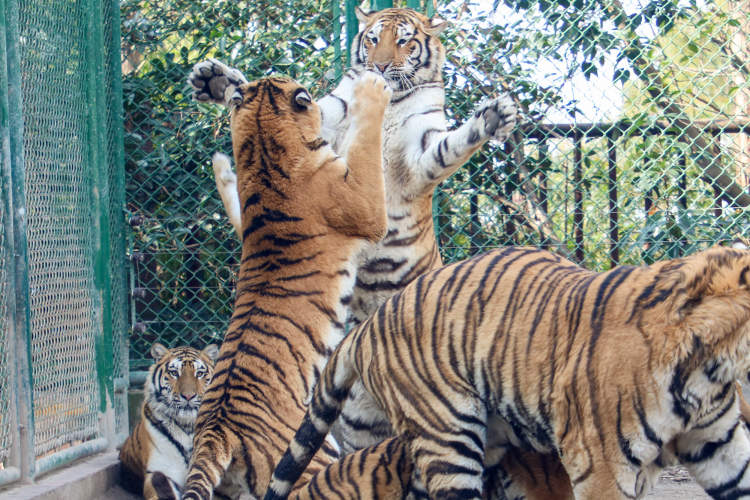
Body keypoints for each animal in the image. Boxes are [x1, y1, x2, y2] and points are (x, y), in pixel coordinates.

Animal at [182, 74, 394, 500]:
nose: (344, 84)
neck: (263, 152)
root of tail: (215, 430)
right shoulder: (366, 204)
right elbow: (365, 142)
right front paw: (371, 90)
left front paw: (221, 167)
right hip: (314, 453)